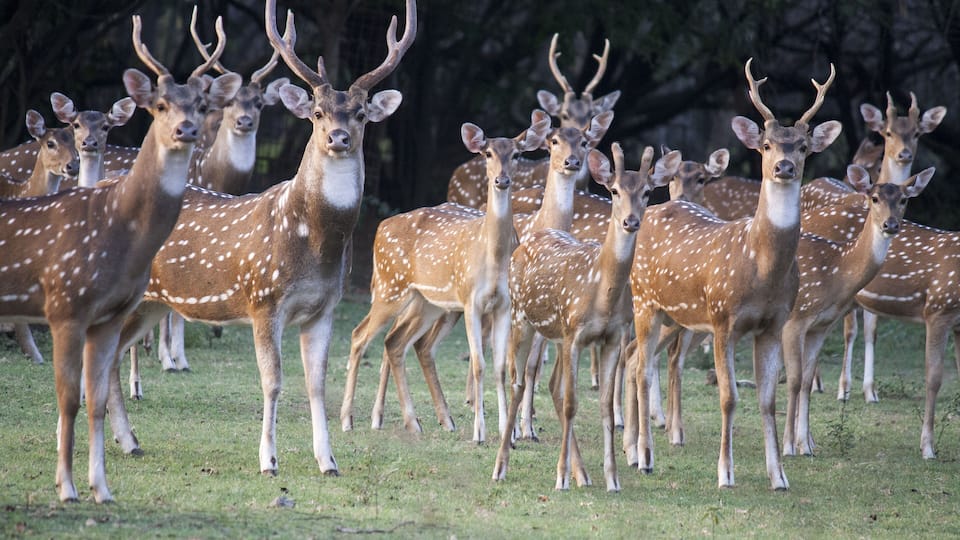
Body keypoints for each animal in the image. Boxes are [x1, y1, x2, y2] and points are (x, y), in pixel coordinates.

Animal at [0, 14, 238, 503]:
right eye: (161, 105)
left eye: (202, 103)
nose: (186, 130)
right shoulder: (65, 306)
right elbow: (68, 399)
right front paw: (67, 487)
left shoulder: (106, 316)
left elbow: (93, 399)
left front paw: (101, 488)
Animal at [105, 0, 416, 479]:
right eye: (317, 113)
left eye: (362, 114)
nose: (339, 137)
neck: (314, 243)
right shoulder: (263, 298)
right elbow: (273, 382)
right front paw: (268, 460)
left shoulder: (325, 307)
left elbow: (315, 383)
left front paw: (328, 461)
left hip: (151, 302)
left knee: (115, 354)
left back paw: (130, 441)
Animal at [353, 109, 613, 443]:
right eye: (554, 141)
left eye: (584, 141)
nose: (573, 162)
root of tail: (382, 225)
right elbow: (508, 365)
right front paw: (508, 428)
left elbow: (523, 366)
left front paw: (521, 428)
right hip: (399, 292)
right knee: (379, 337)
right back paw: (371, 419)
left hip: (431, 303)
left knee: (407, 343)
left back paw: (430, 419)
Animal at [493, 143, 680, 491]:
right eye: (614, 189)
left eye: (647, 191)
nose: (631, 221)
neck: (601, 292)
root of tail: (528, 239)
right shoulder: (575, 333)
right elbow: (571, 404)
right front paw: (561, 476)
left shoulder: (611, 337)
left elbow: (605, 406)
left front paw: (612, 478)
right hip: (521, 317)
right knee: (519, 382)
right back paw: (501, 465)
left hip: (553, 333)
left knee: (551, 384)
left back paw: (583, 473)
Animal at [627, 58, 841, 490]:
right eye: (766, 144)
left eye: (803, 146)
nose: (784, 167)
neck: (760, 269)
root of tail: (653, 210)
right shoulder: (723, 317)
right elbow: (728, 397)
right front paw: (725, 472)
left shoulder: (774, 324)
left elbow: (767, 399)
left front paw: (778, 476)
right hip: (644, 301)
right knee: (641, 370)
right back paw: (643, 457)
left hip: (672, 315)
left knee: (638, 364)